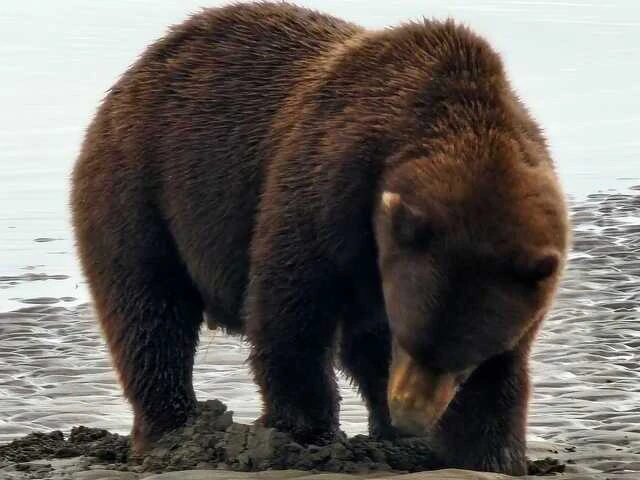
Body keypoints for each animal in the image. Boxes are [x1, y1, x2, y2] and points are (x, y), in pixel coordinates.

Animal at [70, 2, 569, 475]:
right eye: (410, 337)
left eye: (463, 360)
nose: (410, 414)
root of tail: (140, 67)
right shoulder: (328, 179)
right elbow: (292, 306)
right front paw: (304, 432)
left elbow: (501, 375)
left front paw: (491, 456)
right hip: (141, 187)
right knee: (149, 311)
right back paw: (173, 429)